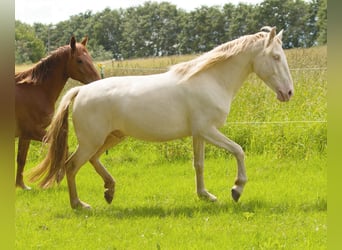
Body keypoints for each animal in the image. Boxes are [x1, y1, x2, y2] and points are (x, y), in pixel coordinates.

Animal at [15, 36, 100, 189]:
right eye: (79, 60)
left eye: (90, 58)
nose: (97, 81)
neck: (36, 90)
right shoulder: (34, 131)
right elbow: (63, 149)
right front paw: (58, 177)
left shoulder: (25, 135)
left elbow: (21, 159)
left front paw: (21, 186)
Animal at [29, 26, 294, 209]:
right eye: (276, 57)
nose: (288, 93)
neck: (211, 80)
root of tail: (80, 91)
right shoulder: (209, 130)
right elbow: (238, 150)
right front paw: (236, 189)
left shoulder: (199, 133)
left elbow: (199, 164)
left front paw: (205, 195)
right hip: (92, 141)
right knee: (71, 165)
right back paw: (80, 205)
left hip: (111, 137)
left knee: (91, 161)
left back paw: (109, 191)